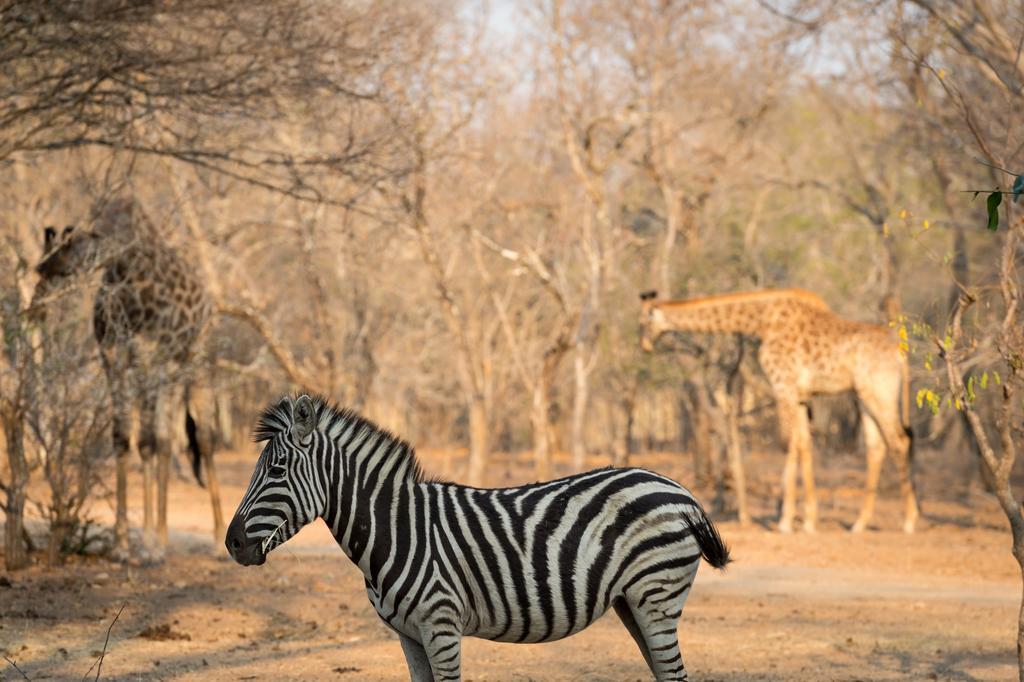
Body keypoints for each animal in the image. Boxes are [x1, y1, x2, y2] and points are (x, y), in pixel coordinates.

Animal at [32, 193, 224, 557]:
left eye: (63, 254)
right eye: (43, 264)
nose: (38, 302)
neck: (124, 266)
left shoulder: (147, 353)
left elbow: (146, 441)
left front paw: (146, 543)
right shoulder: (113, 355)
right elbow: (124, 438)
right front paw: (123, 542)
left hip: (196, 358)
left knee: (204, 440)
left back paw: (218, 540)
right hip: (171, 370)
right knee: (166, 439)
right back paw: (163, 534)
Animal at [228, 393, 733, 679]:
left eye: (276, 471)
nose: (232, 543)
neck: (395, 528)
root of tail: (679, 490)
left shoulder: (441, 627)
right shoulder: (408, 636)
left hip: (657, 596)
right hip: (633, 603)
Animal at [638, 286, 921, 532]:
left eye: (644, 322)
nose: (645, 345)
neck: (762, 322)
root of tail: (901, 352)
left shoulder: (783, 386)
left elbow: (788, 443)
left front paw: (786, 521)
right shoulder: (800, 395)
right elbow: (804, 444)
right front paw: (808, 520)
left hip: (879, 390)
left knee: (899, 441)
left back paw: (909, 522)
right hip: (863, 395)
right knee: (877, 446)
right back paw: (859, 524)